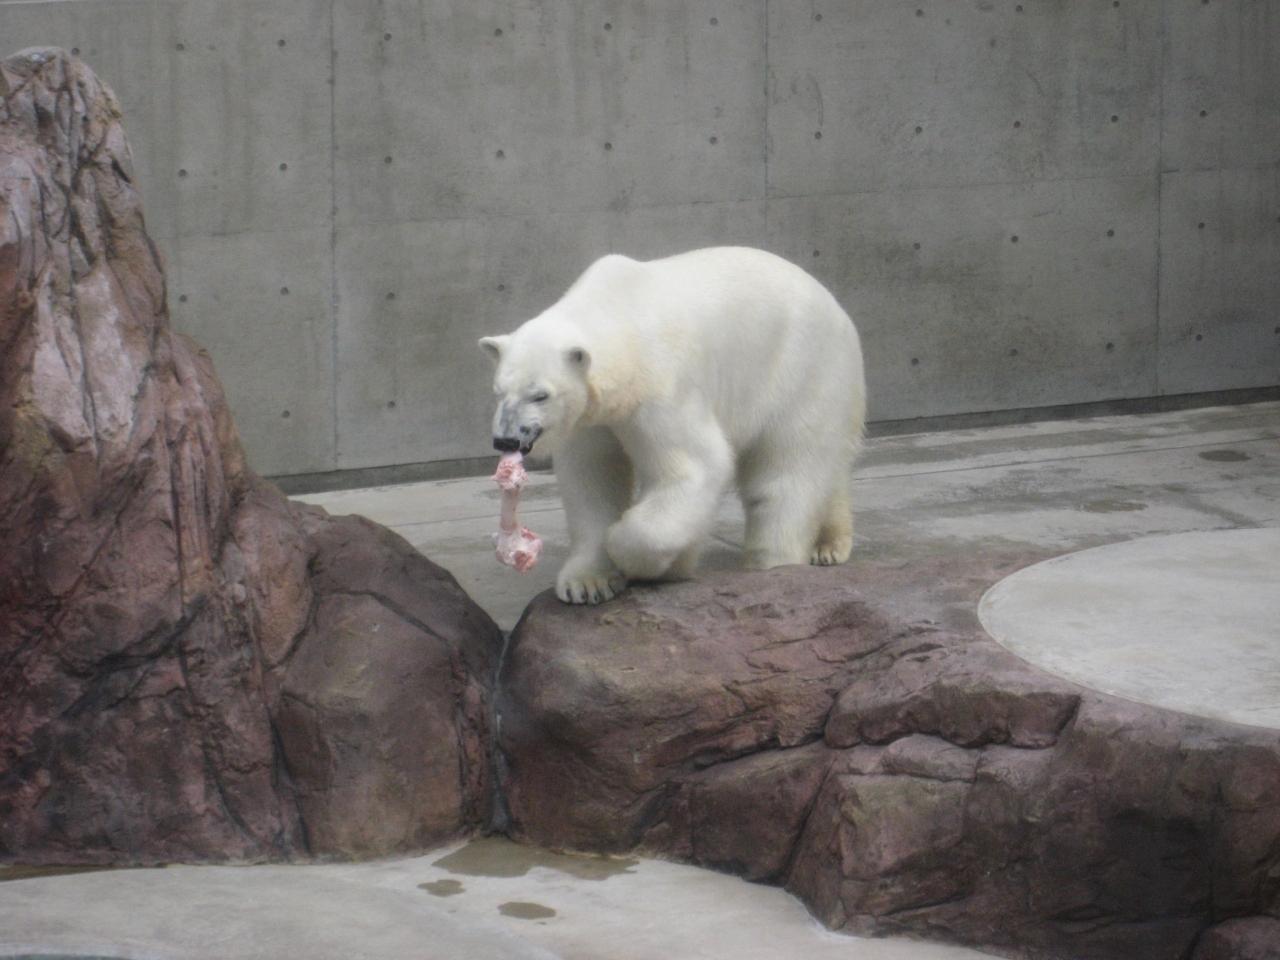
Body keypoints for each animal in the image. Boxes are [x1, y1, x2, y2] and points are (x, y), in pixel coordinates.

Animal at [479, 246, 866, 605]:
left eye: (540, 395)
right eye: (498, 391)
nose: (506, 441)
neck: (623, 312)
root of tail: (838, 309)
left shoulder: (663, 388)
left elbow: (695, 467)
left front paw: (639, 559)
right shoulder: (590, 415)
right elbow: (592, 476)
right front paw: (587, 583)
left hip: (803, 370)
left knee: (787, 469)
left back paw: (773, 562)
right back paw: (827, 544)